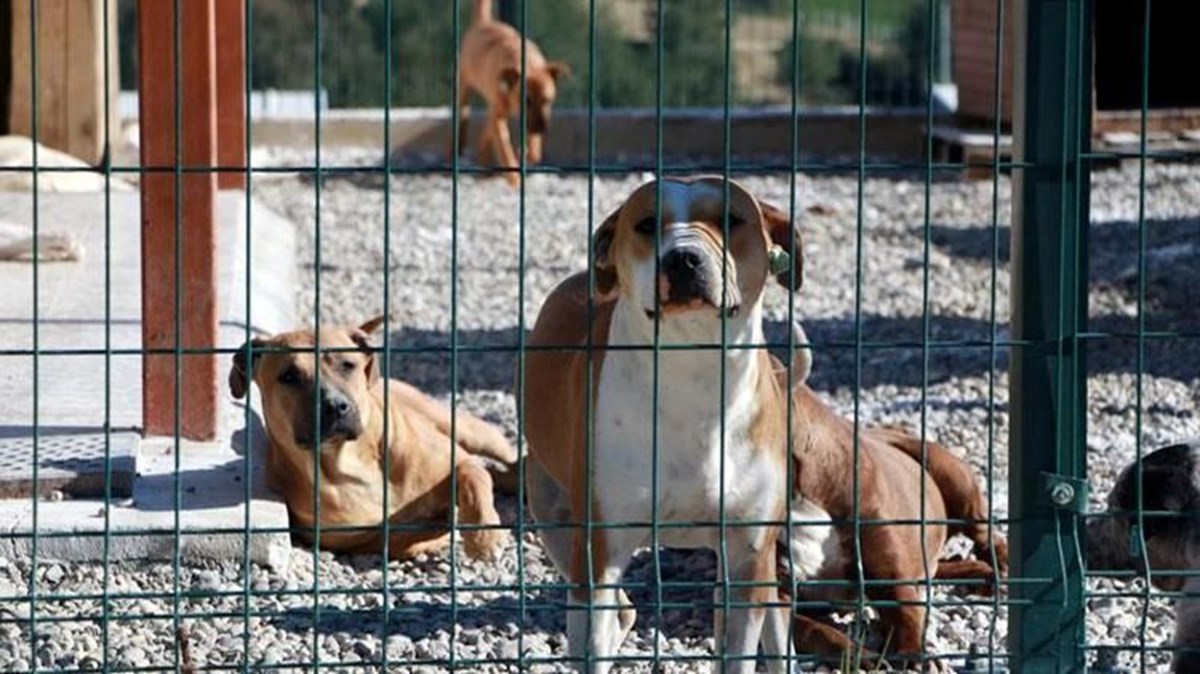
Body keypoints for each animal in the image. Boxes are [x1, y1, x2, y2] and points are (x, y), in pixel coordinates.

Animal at [525, 176, 806, 666]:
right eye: (645, 223)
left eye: (731, 218)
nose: (683, 257)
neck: (689, 371)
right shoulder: (600, 547)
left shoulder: (747, 552)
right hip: (551, 511)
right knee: (619, 611)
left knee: (773, 616)